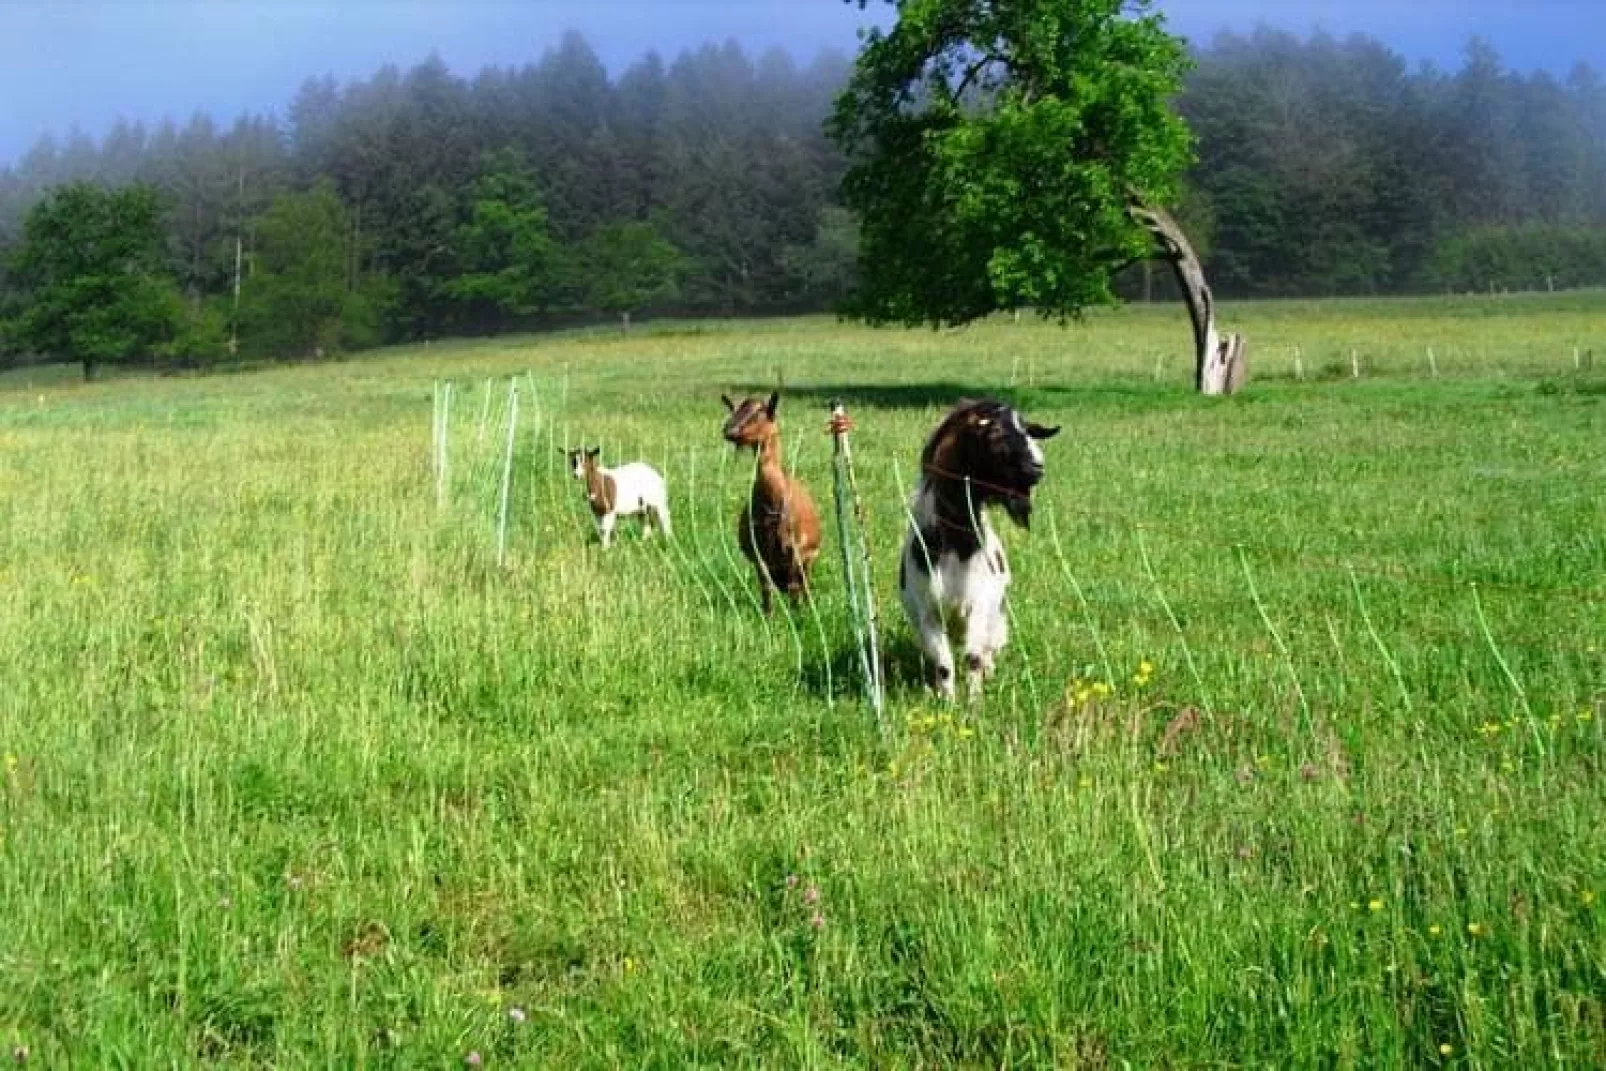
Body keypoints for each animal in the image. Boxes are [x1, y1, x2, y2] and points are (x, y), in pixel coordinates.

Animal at [722, 391, 822, 610]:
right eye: (735, 409)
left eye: (764, 412)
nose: (729, 430)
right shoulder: (758, 552)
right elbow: (766, 589)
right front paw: (767, 614)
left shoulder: (796, 550)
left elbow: (795, 586)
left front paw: (797, 614)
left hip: (810, 556)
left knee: (804, 584)